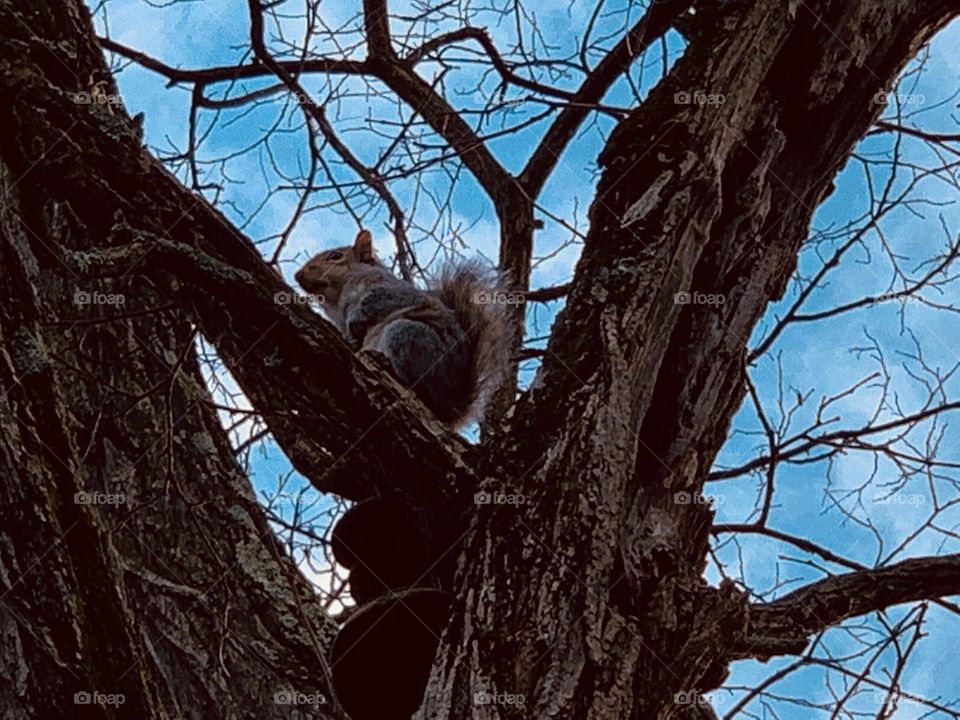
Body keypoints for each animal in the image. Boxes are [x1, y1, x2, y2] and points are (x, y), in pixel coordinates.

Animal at [294, 229, 510, 428]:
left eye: (335, 256)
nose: (298, 275)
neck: (338, 300)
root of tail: (449, 404)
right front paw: (350, 337)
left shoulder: (394, 292)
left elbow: (375, 303)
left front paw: (355, 319)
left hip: (406, 335)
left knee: (421, 391)